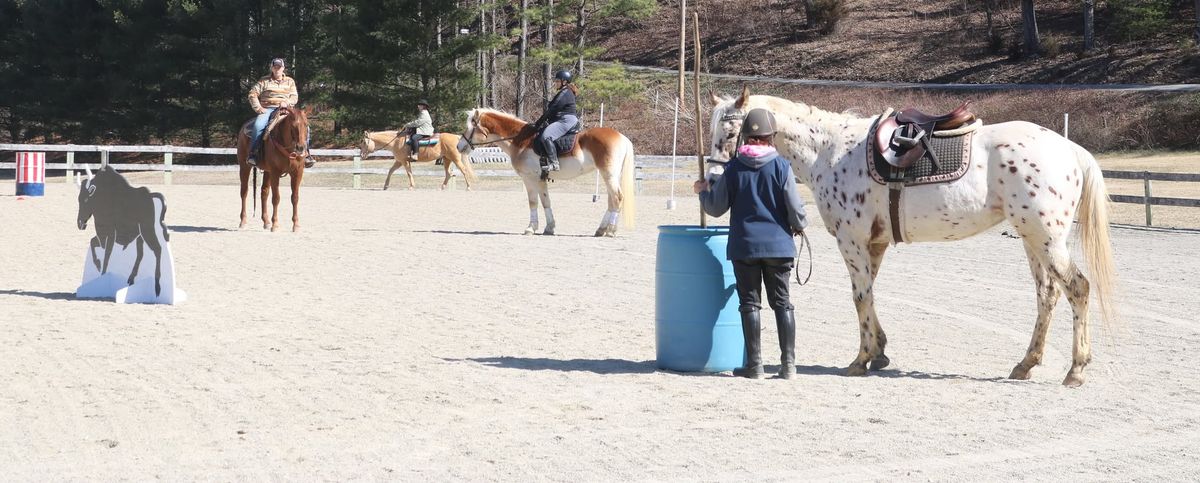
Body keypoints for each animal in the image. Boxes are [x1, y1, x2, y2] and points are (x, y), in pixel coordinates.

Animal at [460, 108, 638, 237]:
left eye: (470, 128)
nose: (459, 146)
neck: (521, 139)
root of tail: (622, 137)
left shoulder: (530, 179)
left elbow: (533, 202)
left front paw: (530, 228)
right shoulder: (540, 179)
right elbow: (546, 202)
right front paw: (549, 228)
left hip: (609, 175)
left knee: (617, 198)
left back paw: (611, 231)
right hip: (609, 176)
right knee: (611, 201)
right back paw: (601, 230)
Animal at [705, 86, 1118, 386]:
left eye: (730, 131)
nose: (710, 182)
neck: (830, 151)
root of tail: (1069, 149)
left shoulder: (852, 240)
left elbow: (859, 296)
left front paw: (861, 358)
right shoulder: (874, 244)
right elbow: (869, 294)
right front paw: (880, 352)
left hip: (1046, 238)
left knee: (1077, 288)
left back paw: (1075, 370)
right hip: (1032, 239)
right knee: (1047, 296)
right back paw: (1025, 364)